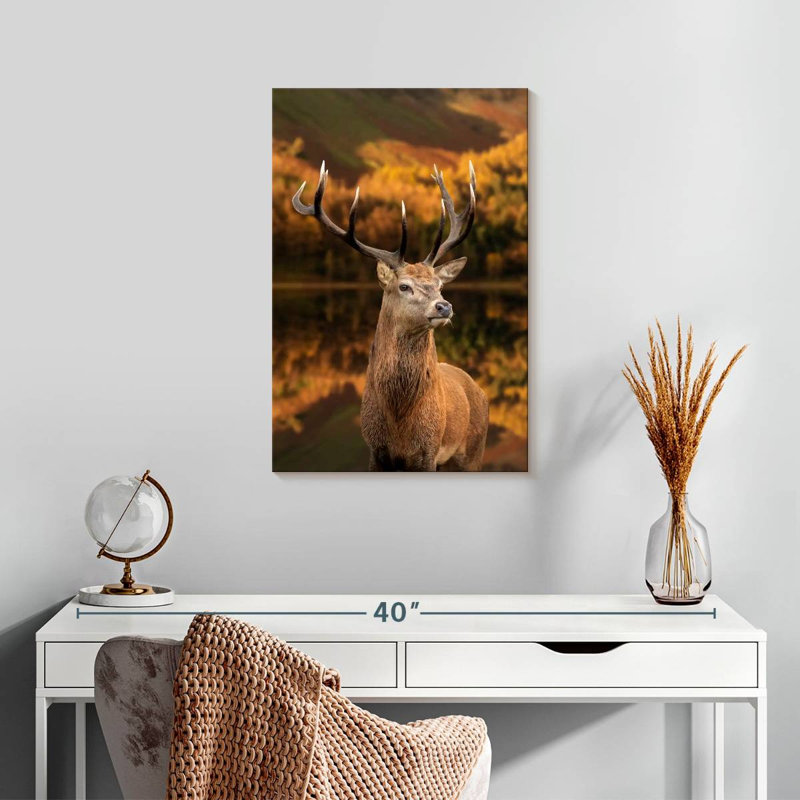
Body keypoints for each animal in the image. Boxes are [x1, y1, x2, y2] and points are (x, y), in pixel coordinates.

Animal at [292, 161, 489, 471]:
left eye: (440, 285)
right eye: (404, 286)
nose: (444, 306)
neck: (399, 427)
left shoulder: (429, 452)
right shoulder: (375, 450)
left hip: (473, 452)